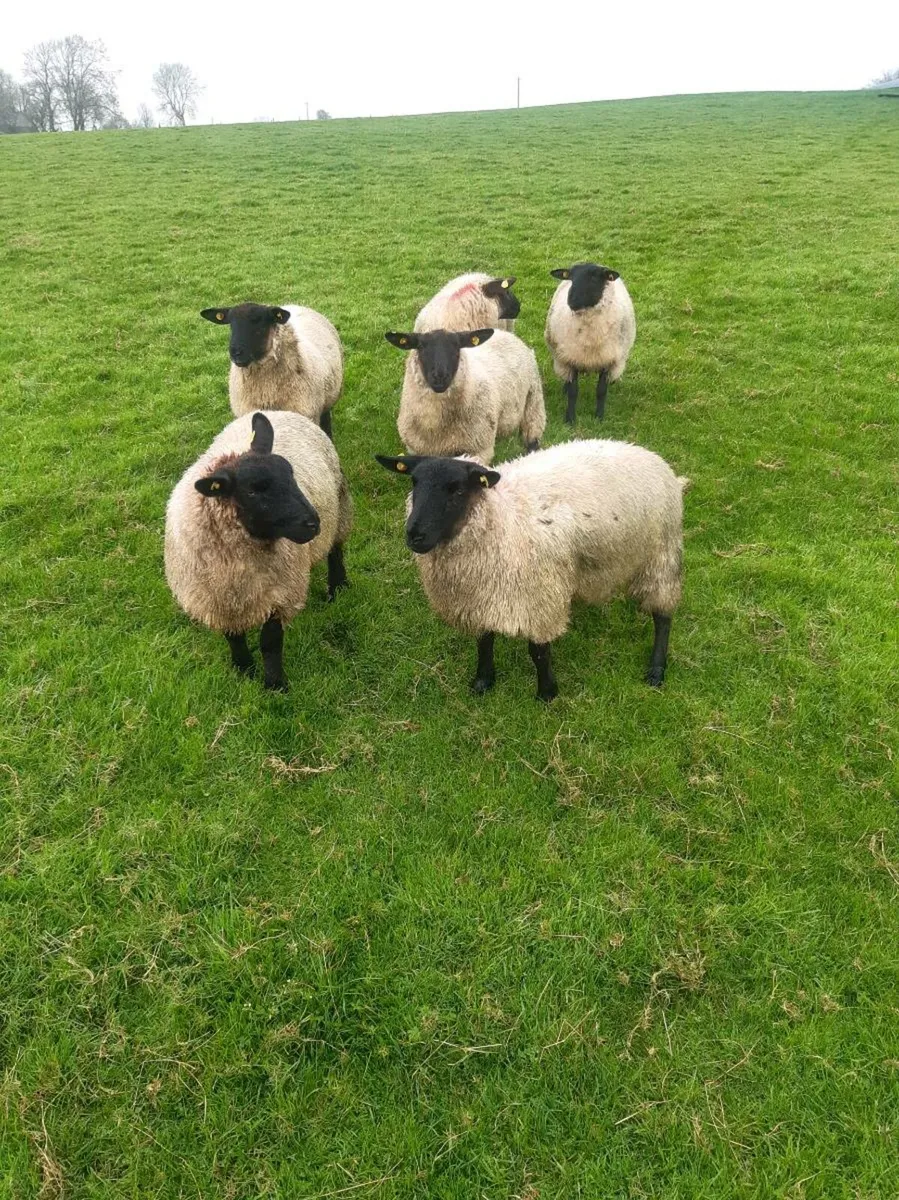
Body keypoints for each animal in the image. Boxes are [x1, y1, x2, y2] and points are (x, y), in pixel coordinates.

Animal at [165, 410, 352, 691]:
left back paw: (337, 586)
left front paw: (275, 684)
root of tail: (278, 410)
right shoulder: (219, 599)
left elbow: (270, 643)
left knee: (335, 549)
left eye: (291, 474)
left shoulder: (281, 592)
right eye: (253, 491)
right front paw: (243, 669)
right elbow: (233, 637)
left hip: (339, 508)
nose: (312, 523)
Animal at [375, 439, 686, 700]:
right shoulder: (480, 596)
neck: (502, 519)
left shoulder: (540, 596)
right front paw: (483, 681)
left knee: (663, 615)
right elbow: (484, 641)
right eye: (414, 483)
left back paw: (656, 669)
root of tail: (650, 455)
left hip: (661, 552)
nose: (415, 535)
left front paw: (547, 693)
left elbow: (538, 652)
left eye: (458, 490)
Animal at [385, 327, 546, 465]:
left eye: (457, 346)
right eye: (421, 346)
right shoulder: (416, 450)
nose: (440, 376)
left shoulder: (481, 449)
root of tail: (506, 333)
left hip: (534, 400)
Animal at [544, 263, 636, 422]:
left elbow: (601, 391)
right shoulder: (571, 358)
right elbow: (573, 392)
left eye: (594, 278)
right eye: (570, 277)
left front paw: (599, 417)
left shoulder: (608, 360)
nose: (571, 301)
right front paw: (570, 419)